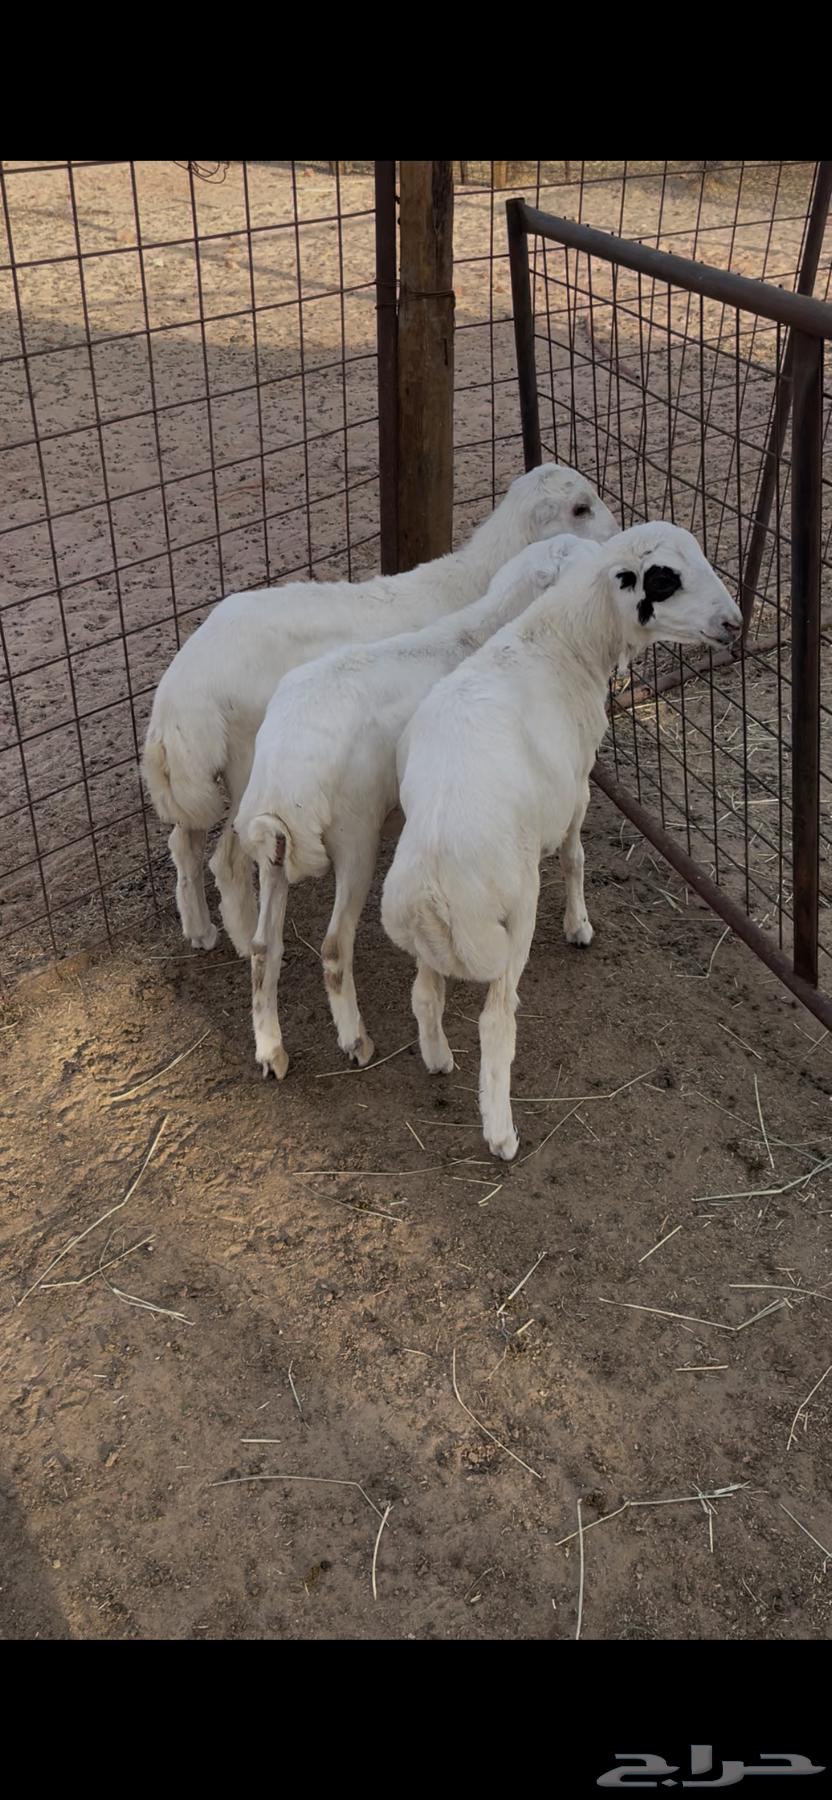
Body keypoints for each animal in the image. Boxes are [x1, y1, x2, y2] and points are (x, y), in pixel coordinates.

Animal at [141, 464, 617, 956]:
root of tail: (182, 689)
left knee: (184, 840)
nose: (616, 542)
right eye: (580, 508)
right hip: (244, 763)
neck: (473, 585)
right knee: (227, 860)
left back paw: (200, 929)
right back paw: (243, 935)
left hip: (195, 771)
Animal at [234, 534, 603, 1079]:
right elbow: (573, 851)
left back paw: (270, 1047)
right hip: (354, 838)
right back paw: (354, 1039)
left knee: (264, 948)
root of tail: (285, 767)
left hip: (274, 847)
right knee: (333, 948)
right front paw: (579, 927)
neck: (480, 635)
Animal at [381, 522, 742, 1160]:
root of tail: (431, 887)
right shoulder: (577, 783)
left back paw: (439, 1060)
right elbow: (575, 856)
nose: (735, 623)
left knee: (425, 995)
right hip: (513, 912)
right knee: (496, 1020)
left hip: (425, 935)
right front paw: (579, 926)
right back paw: (500, 1132)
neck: (560, 643)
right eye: (665, 579)